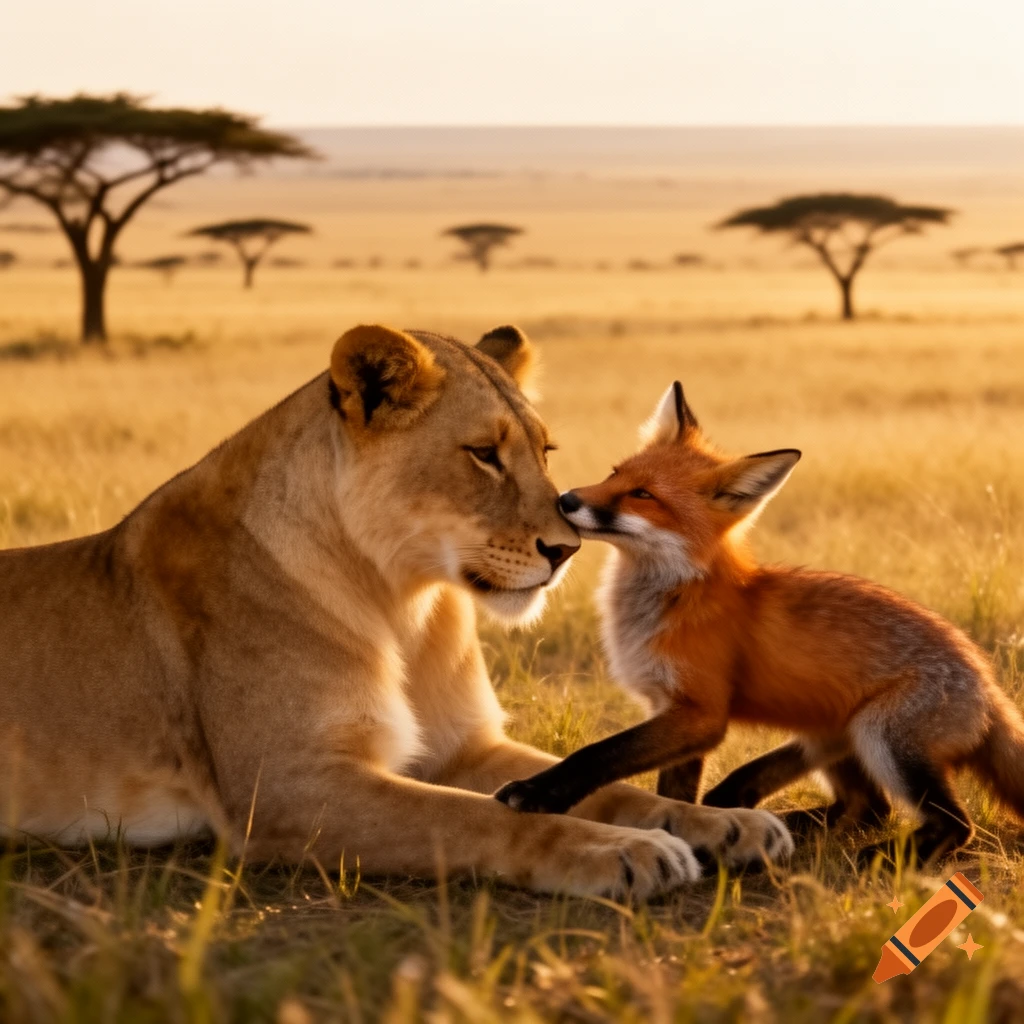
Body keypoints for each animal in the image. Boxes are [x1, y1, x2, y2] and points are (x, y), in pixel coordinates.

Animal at [0, 324, 791, 899]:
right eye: (483, 454)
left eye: (545, 451)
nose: (566, 549)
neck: (402, 600)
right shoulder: (286, 790)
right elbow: (470, 816)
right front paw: (623, 852)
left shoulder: (465, 748)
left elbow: (597, 782)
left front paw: (725, 824)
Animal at [497, 382, 1024, 864]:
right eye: (614, 474)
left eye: (642, 495)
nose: (566, 499)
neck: (668, 601)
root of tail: (986, 678)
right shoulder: (674, 710)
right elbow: (674, 797)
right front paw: (697, 832)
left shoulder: (701, 712)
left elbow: (598, 753)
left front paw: (539, 793)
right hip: (837, 734)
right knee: (867, 808)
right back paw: (778, 820)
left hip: (883, 738)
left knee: (950, 824)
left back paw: (882, 856)